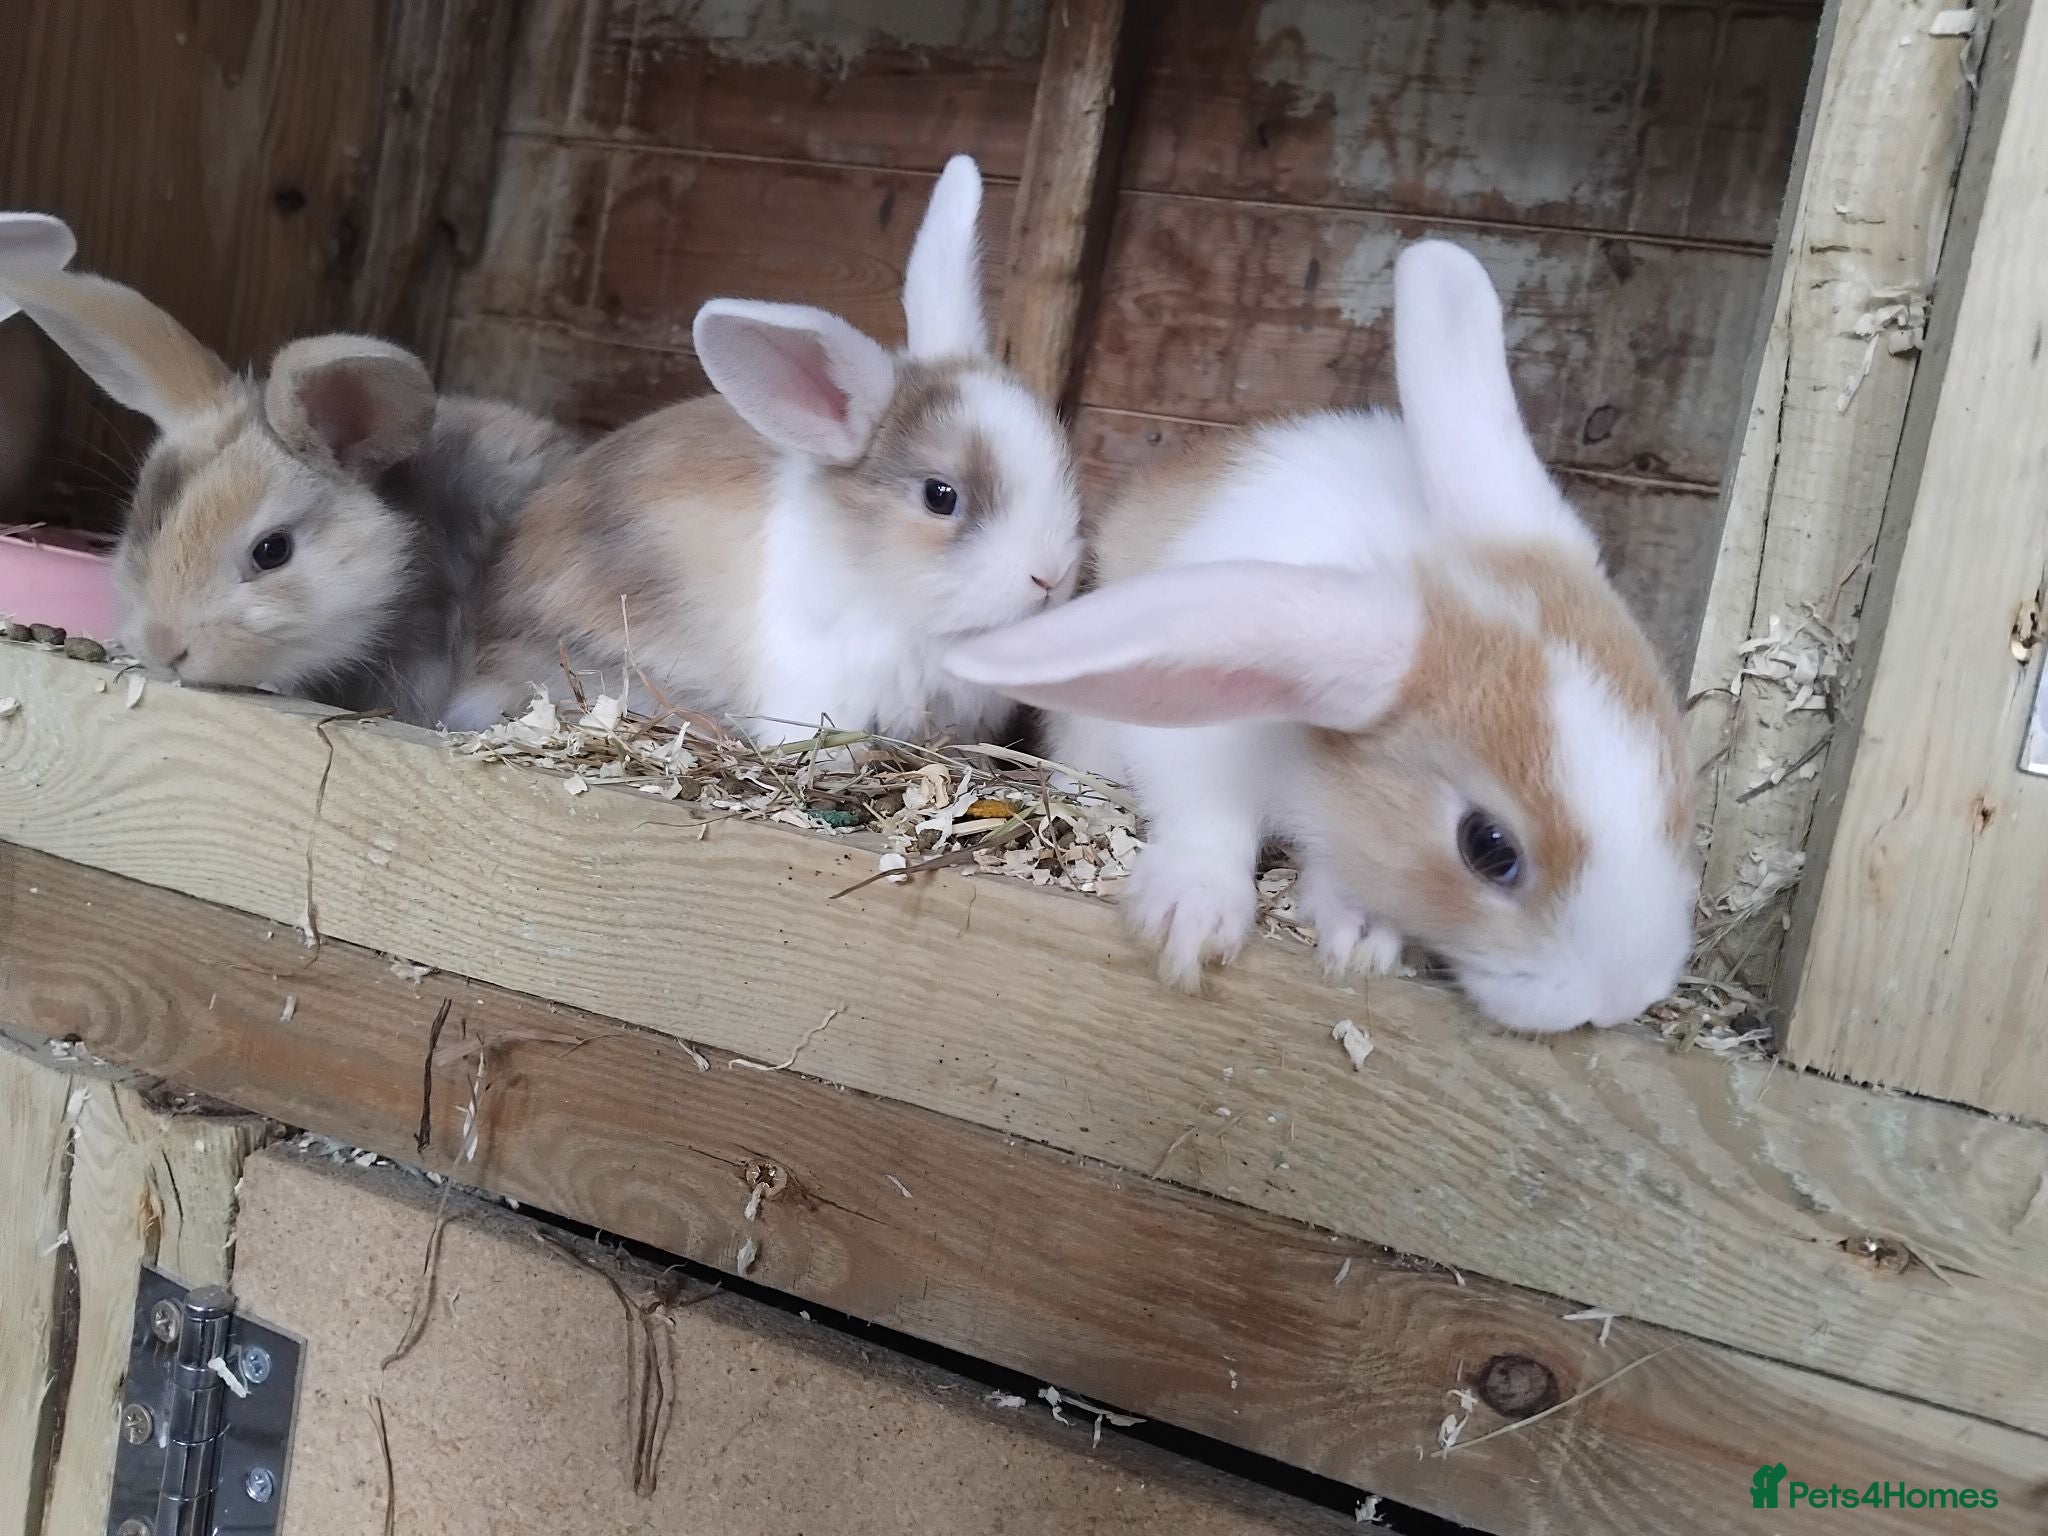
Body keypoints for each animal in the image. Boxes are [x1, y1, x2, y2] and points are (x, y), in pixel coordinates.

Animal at [946, 240, 1696, 1034]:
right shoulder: (1201, 747)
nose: (1623, 997)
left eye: (1677, 785)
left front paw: (1362, 937)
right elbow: (1210, 824)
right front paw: (1191, 919)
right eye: (1488, 848)